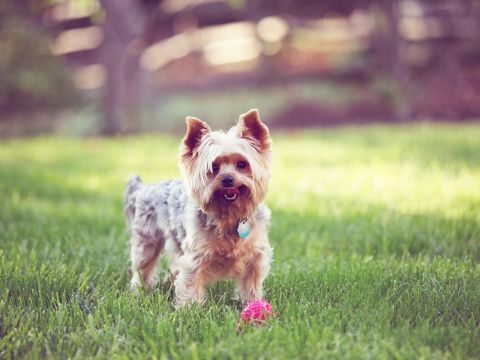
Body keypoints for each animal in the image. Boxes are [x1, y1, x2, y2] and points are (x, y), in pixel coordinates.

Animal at [124, 109, 274, 306]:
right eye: (214, 167)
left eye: (242, 164)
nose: (227, 179)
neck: (229, 215)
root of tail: (143, 188)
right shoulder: (195, 256)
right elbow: (190, 283)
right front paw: (189, 309)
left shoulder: (255, 255)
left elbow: (251, 283)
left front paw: (252, 303)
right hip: (147, 239)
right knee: (142, 267)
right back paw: (138, 291)